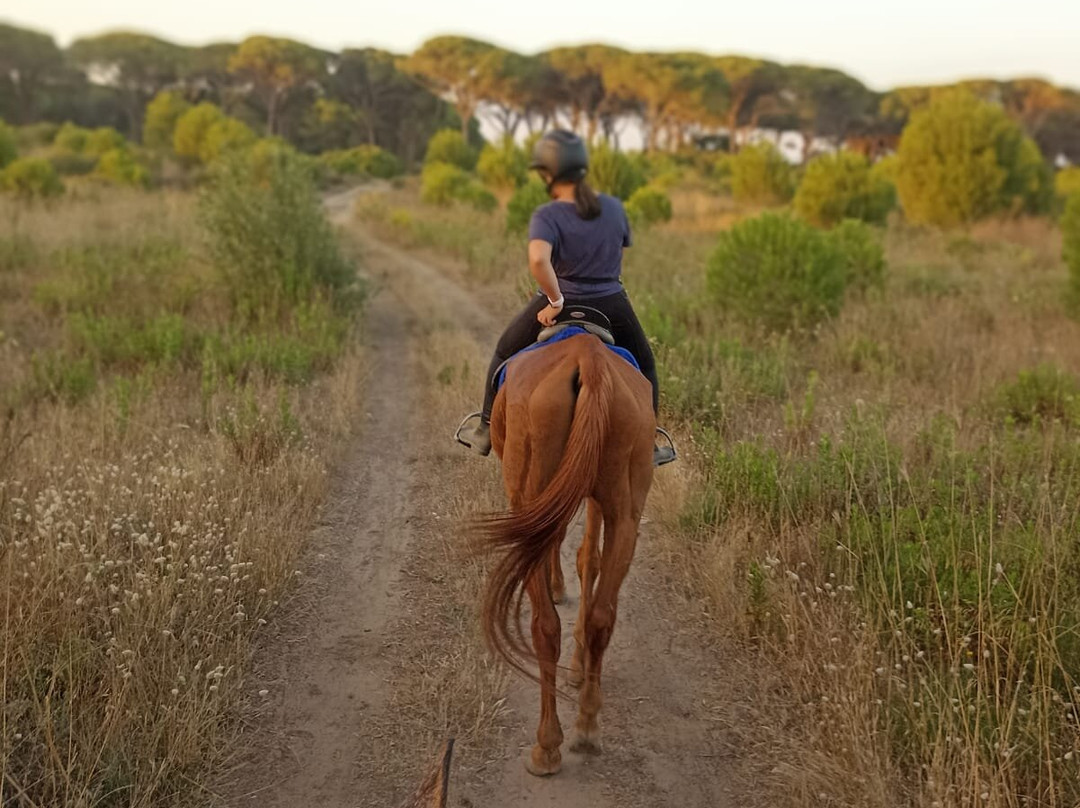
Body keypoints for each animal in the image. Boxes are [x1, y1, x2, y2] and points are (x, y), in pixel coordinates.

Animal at [481, 330, 656, 777]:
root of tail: (588, 359)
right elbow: (587, 558)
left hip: (529, 497)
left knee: (545, 627)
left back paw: (546, 747)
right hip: (625, 509)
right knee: (601, 617)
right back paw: (588, 726)